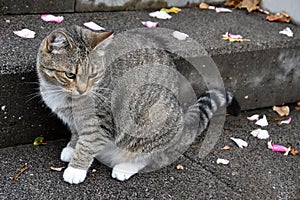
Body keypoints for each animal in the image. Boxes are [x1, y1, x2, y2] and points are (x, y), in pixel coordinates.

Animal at [36, 25, 240, 184]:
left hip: (154, 117)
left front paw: (75, 169)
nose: (82, 90)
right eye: (70, 75)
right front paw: (72, 148)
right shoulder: (73, 120)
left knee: (149, 155)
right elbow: (76, 133)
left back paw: (125, 167)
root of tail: (184, 124)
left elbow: (87, 144)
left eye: (92, 75)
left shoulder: (101, 122)